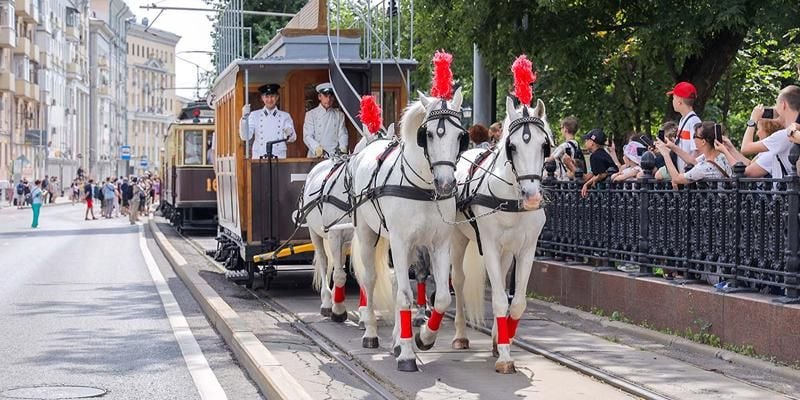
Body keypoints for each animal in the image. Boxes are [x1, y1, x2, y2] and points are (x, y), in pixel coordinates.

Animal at [350, 87, 468, 372]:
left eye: (460, 136)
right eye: (428, 135)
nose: (446, 184)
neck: (422, 188)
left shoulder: (439, 245)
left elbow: (442, 299)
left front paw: (423, 338)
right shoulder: (401, 243)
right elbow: (405, 296)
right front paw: (406, 354)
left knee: (394, 282)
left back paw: (395, 339)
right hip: (368, 234)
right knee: (370, 280)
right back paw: (371, 333)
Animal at [454, 98, 552, 374]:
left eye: (544, 145)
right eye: (512, 146)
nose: (532, 196)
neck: (510, 199)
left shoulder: (527, 249)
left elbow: (517, 302)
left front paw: (503, 342)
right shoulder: (488, 245)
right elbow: (498, 299)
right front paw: (506, 357)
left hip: (506, 252)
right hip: (457, 239)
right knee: (457, 281)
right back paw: (460, 336)